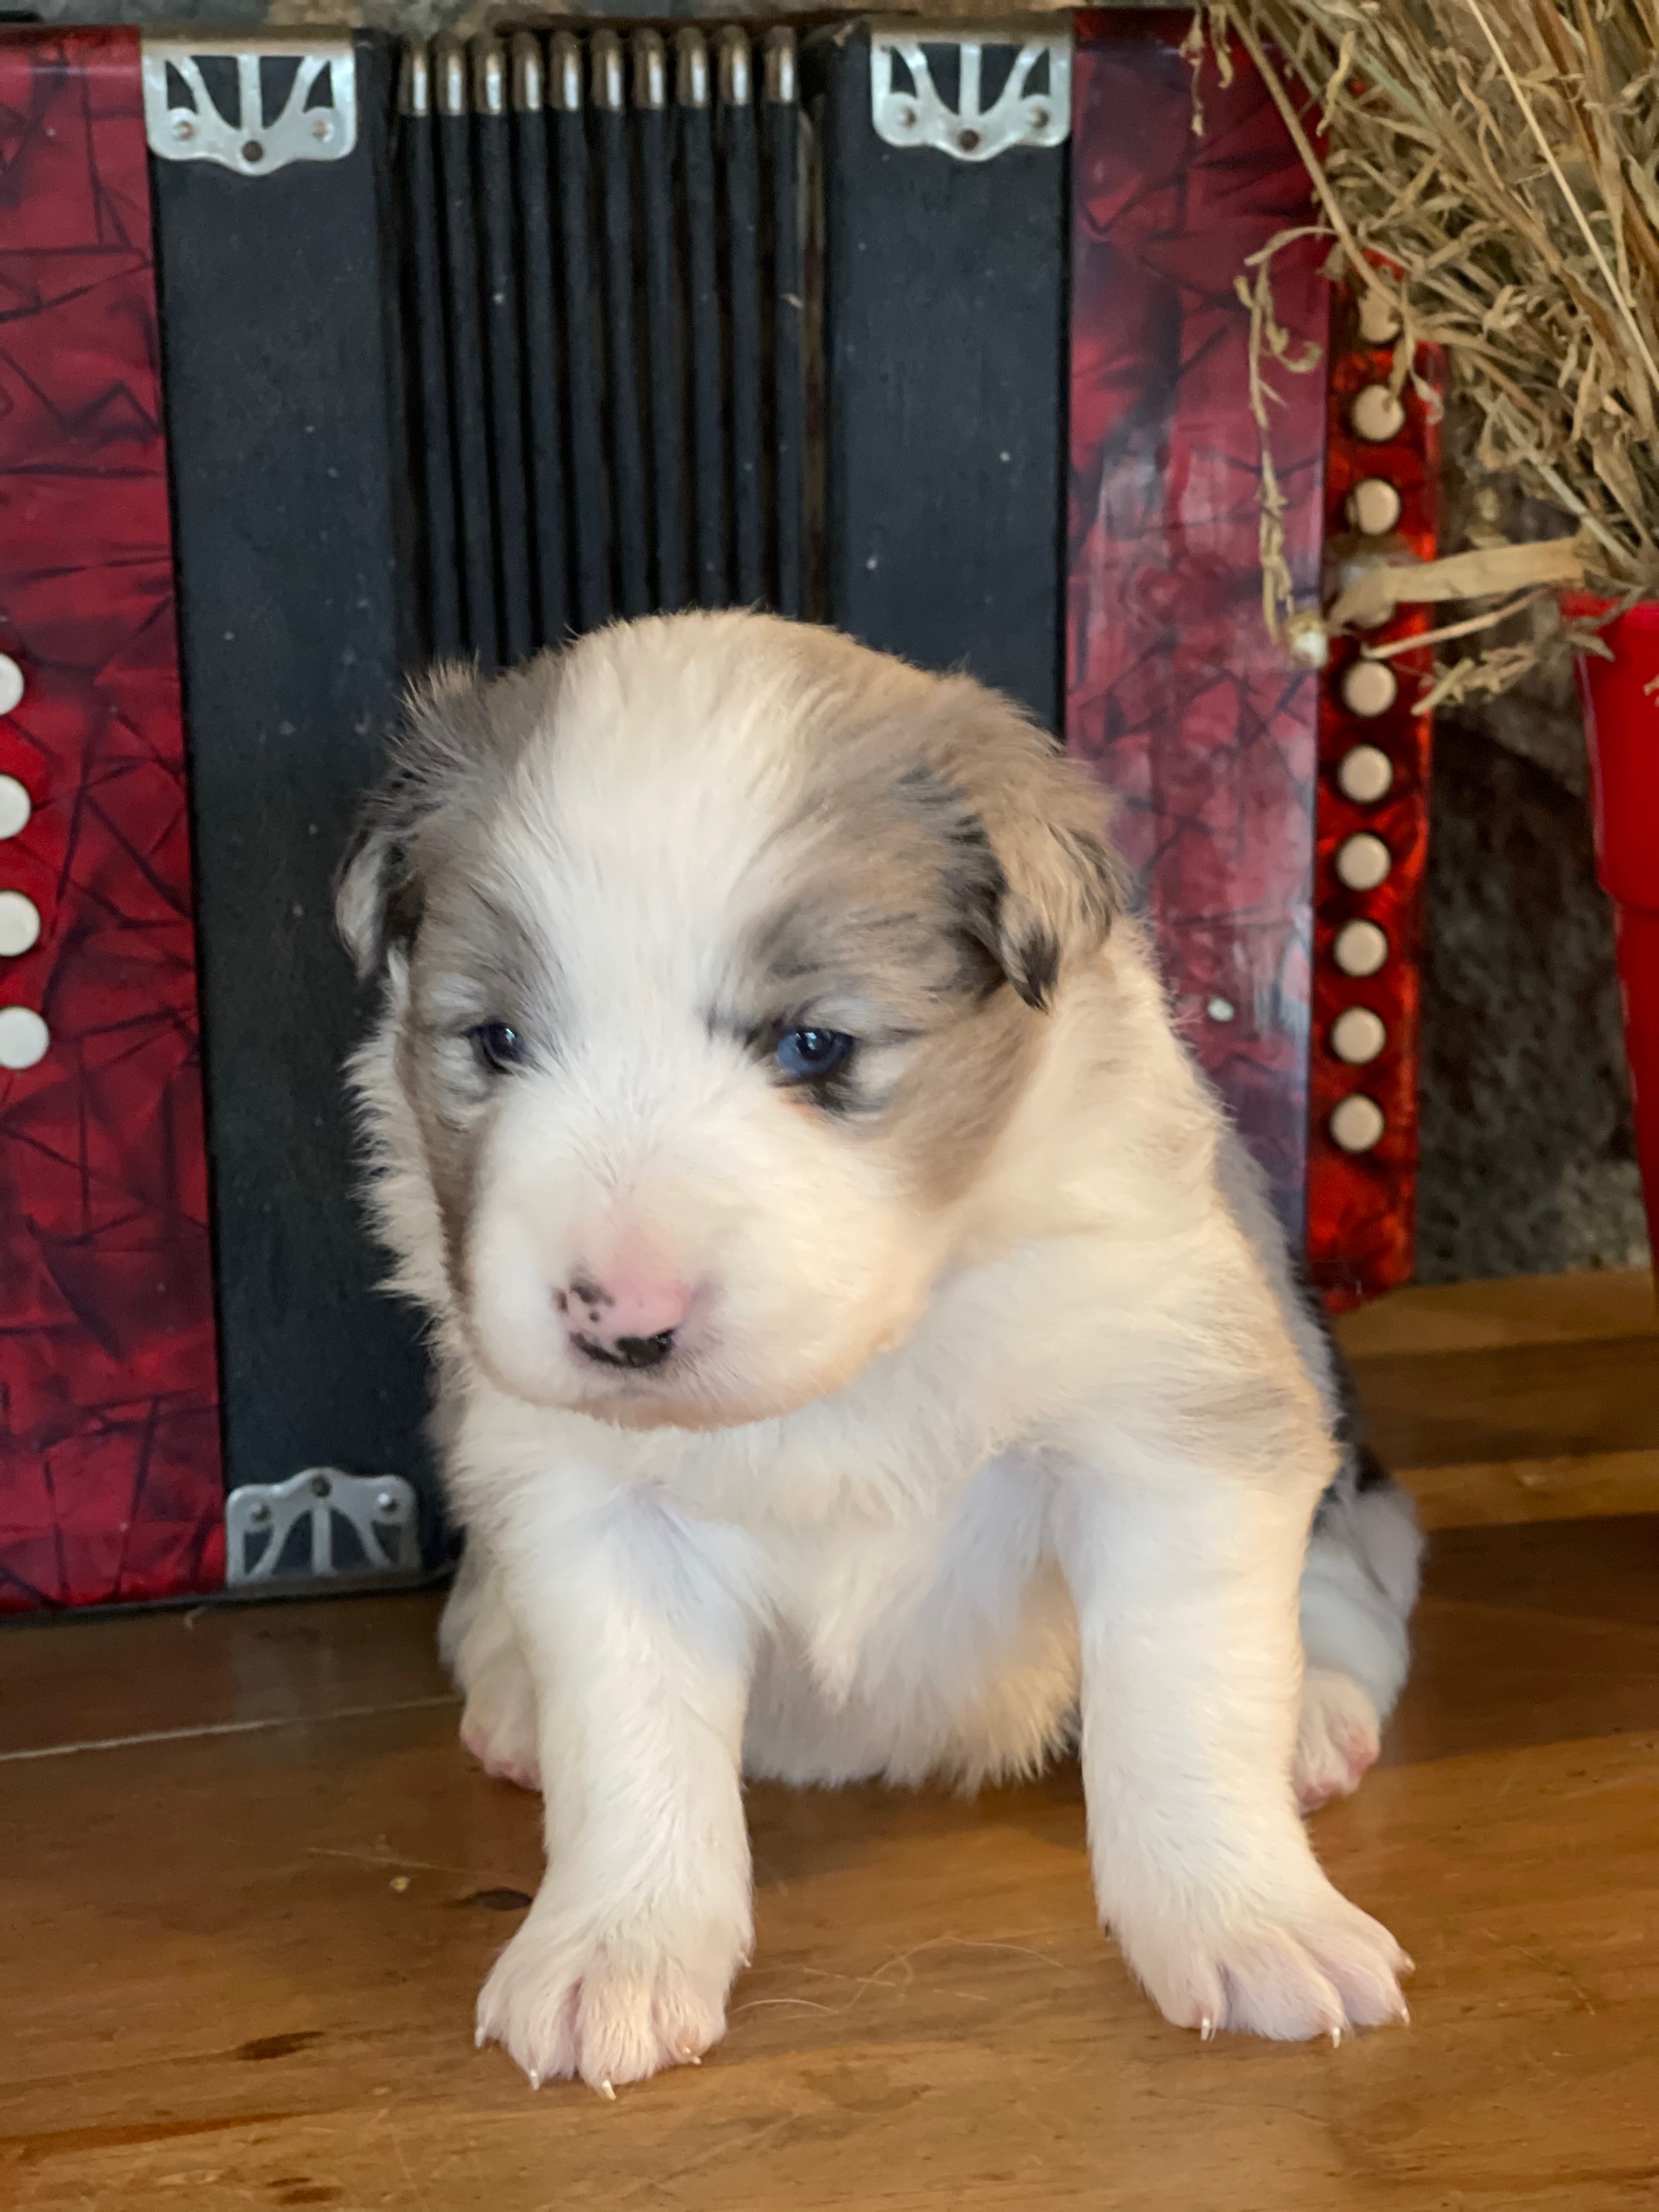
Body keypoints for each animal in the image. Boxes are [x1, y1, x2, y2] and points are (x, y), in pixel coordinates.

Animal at [340, 610, 1433, 2088]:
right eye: (495, 1041)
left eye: (818, 1043)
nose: (619, 1320)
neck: (858, 1361)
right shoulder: (582, 1502)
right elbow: (629, 1737)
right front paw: (614, 1948)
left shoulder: (1166, 1431)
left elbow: (1184, 1701)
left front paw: (1248, 1917)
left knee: (1355, 1591)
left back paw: (1315, 1713)